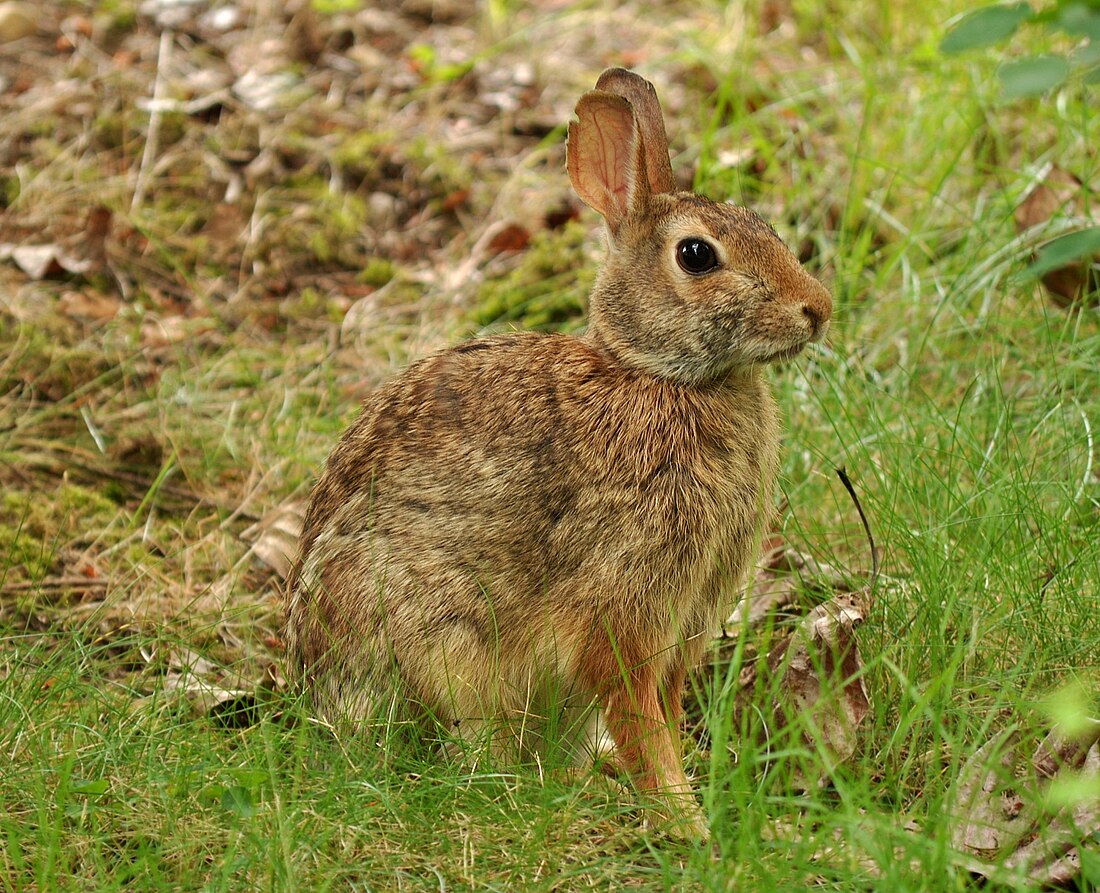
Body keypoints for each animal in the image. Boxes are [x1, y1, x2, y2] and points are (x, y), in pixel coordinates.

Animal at [288, 67, 827, 835]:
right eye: (697, 255)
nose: (819, 309)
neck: (660, 376)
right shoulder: (621, 600)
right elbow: (639, 717)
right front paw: (686, 821)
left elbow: (663, 709)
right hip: (438, 643)